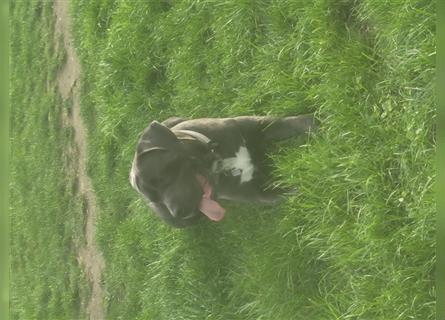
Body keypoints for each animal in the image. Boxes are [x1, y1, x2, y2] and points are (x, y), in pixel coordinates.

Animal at [130, 114, 318, 228]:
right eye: (157, 199)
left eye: (161, 177)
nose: (178, 213)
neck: (220, 161)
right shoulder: (257, 193)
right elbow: (290, 193)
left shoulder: (255, 125)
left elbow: (289, 123)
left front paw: (317, 122)